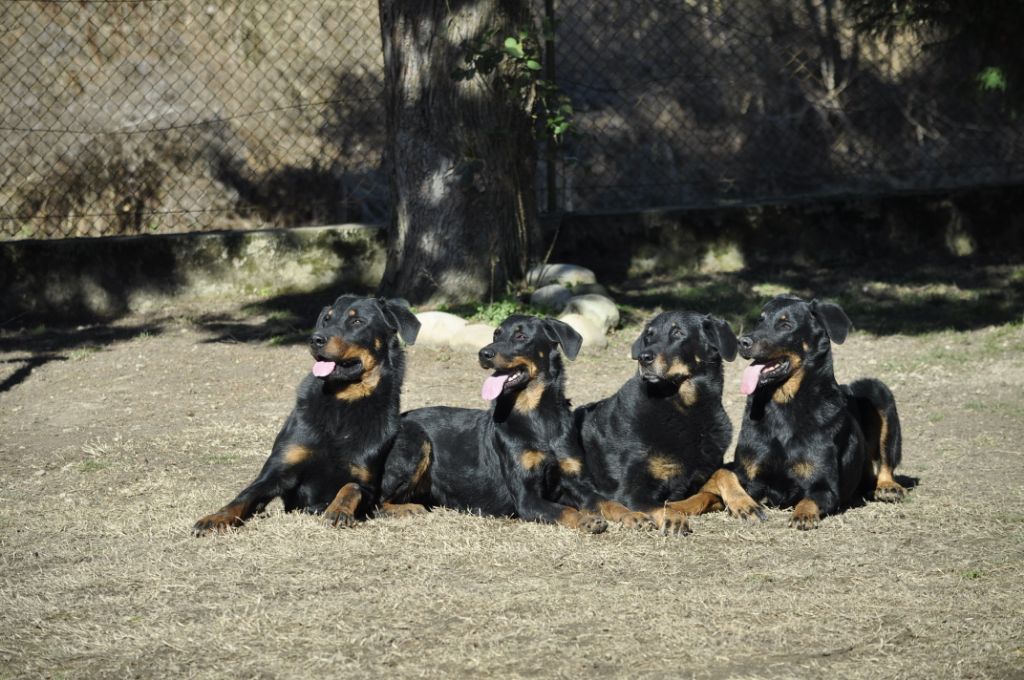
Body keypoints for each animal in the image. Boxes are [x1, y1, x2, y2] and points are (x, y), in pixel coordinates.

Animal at [190, 296, 417, 536]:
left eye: (357, 321)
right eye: (326, 319)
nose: (315, 339)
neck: (343, 402)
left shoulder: (365, 482)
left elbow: (351, 487)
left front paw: (339, 510)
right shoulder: (278, 472)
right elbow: (243, 496)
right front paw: (216, 517)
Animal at [376, 315, 647, 532]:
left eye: (520, 336)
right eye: (496, 334)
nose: (483, 353)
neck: (537, 417)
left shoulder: (576, 482)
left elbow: (606, 501)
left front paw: (633, 515)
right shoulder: (526, 498)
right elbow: (565, 509)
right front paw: (585, 519)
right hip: (416, 442)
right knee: (375, 500)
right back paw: (406, 508)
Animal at [573, 311, 765, 532]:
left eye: (678, 332)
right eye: (649, 336)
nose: (643, 357)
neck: (685, 410)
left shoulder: (700, 473)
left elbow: (723, 473)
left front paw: (744, 503)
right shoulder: (631, 490)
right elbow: (659, 505)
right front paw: (673, 516)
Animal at [720, 294, 905, 528]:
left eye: (785, 325)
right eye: (760, 320)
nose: (742, 342)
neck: (784, 404)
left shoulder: (824, 486)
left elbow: (810, 499)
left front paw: (803, 515)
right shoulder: (749, 477)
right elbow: (724, 474)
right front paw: (744, 505)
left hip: (877, 391)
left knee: (887, 462)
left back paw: (888, 487)